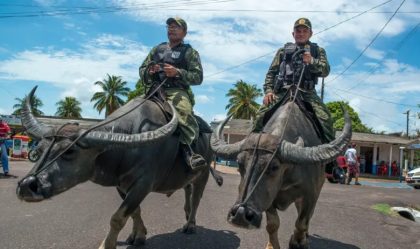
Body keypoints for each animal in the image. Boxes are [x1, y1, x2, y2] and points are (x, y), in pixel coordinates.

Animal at [15, 86, 223, 249]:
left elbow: (117, 218)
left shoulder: (142, 185)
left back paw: (190, 225)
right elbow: (135, 211)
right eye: (39, 149)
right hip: (188, 177)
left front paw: (107, 245)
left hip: (203, 173)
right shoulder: (122, 185)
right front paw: (138, 236)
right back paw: (187, 216)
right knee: (188, 192)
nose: (26, 186)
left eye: (70, 151)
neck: (124, 149)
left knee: (196, 199)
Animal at [210, 89, 352, 249]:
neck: (289, 172)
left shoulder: (311, 194)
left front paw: (298, 242)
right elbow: (273, 224)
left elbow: (302, 222)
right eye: (240, 164)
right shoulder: (269, 197)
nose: (240, 214)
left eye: (274, 167)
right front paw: (272, 245)